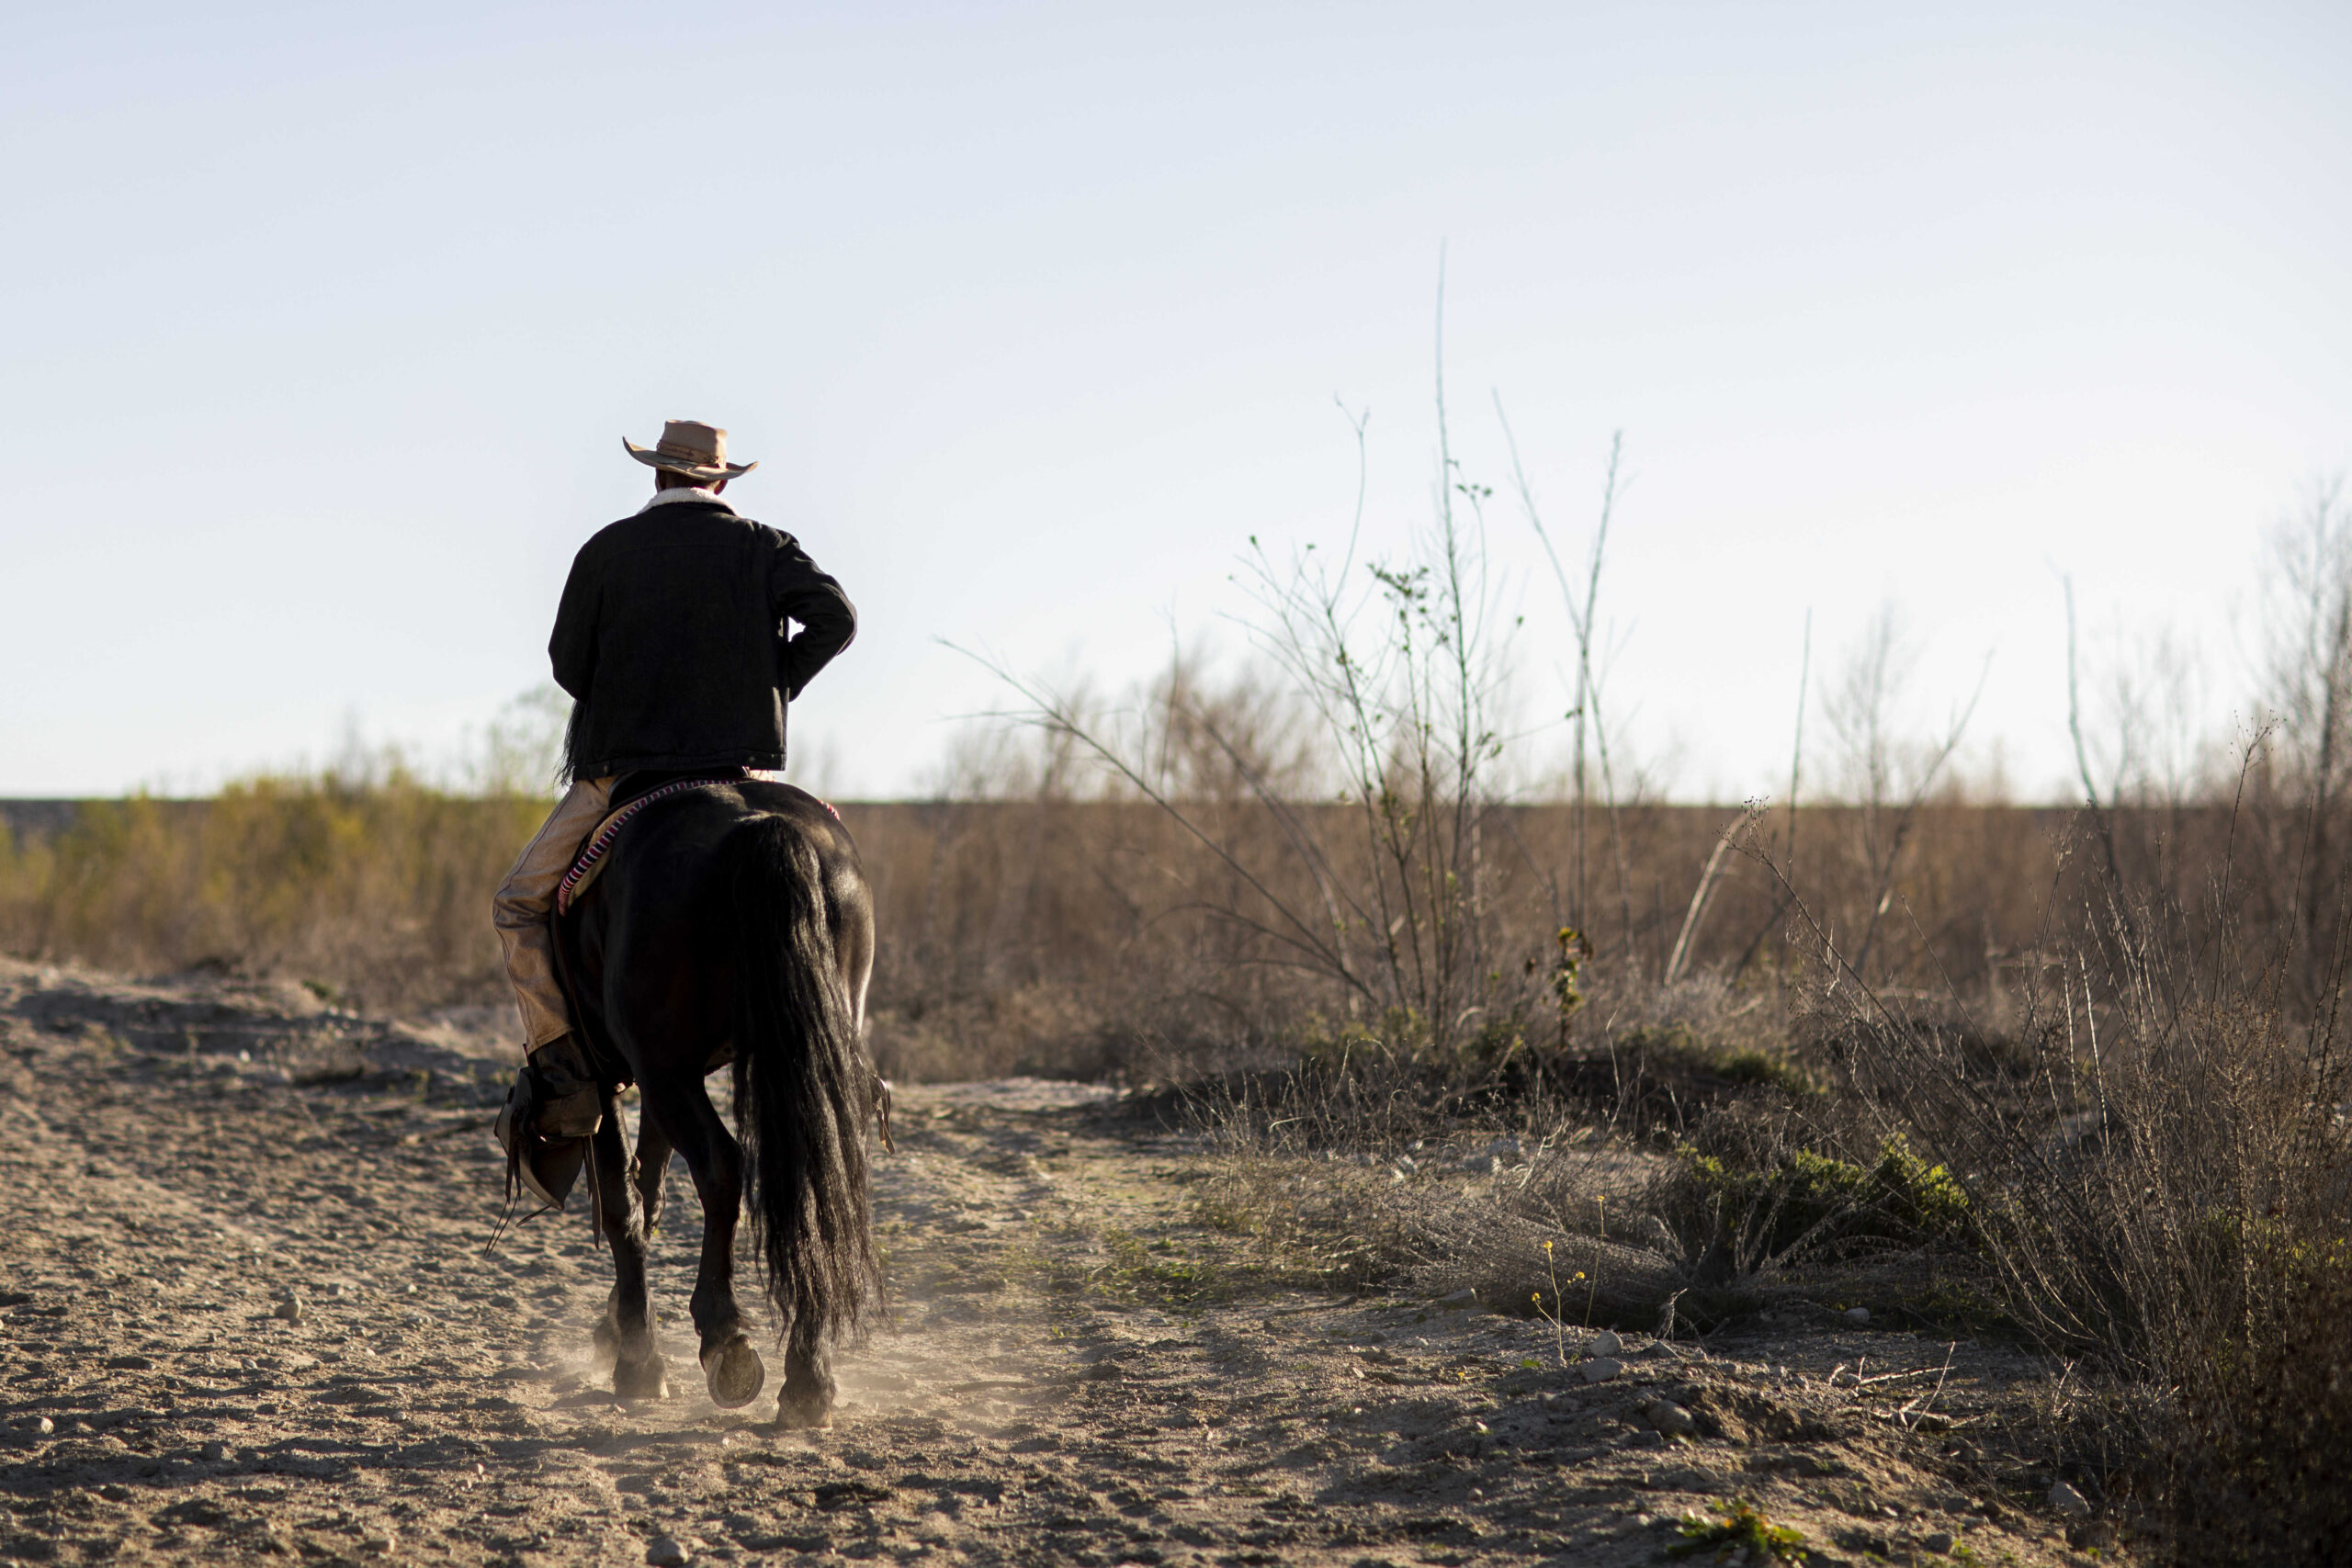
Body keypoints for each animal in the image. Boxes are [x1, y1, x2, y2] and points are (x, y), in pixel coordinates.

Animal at [550, 780, 884, 1429]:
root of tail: (754, 825)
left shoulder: (614, 1073)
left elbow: (624, 1201)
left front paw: (637, 1361)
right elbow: (648, 1186)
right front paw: (617, 1329)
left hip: (664, 1072)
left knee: (721, 1168)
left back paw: (726, 1340)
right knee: (816, 1174)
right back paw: (808, 1380)